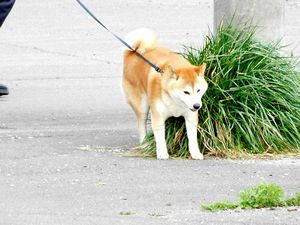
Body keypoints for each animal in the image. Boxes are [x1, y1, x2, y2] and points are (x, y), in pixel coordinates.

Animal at [121, 28, 206, 160]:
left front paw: (195, 153)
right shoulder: (158, 116)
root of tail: (134, 53)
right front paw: (162, 153)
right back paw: (144, 144)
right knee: (141, 124)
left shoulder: (191, 116)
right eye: (186, 92)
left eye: (198, 90)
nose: (197, 106)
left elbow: (192, 137)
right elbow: (160, 137)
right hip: (141, 106)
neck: (175, 102)